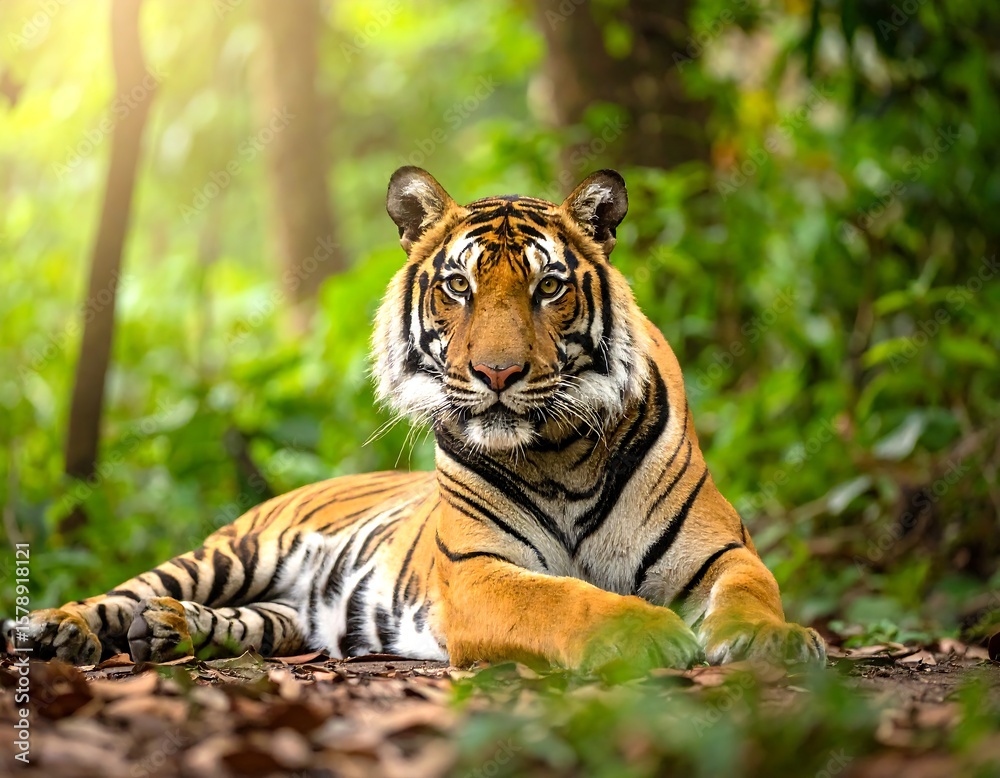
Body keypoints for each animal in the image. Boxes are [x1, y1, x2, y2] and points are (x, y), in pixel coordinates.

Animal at [11, 167, 825, 671]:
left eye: (549, 287)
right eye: (458, 286)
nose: (497, 373)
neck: (561, 452)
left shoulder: (721, 550)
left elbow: (751, 591)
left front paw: (778, 640)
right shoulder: (477, 571)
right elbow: (565, 598)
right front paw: (648, 632)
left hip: (282, 611)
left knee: (241, 622)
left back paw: (168, 630)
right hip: (233, 553)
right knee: (126, 591)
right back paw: (58, 629)